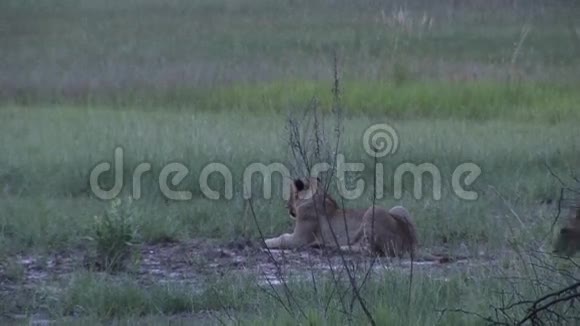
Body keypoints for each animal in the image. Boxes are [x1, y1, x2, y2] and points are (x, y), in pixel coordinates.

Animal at [266, 177, 420, 258]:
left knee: (370, 251)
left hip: (374, 210)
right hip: (399, 208)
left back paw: (337, 248)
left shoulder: (299, 239)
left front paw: (266, 241)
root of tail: (408, 244)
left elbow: (282, 238)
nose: (286, 206)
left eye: (292, 195)